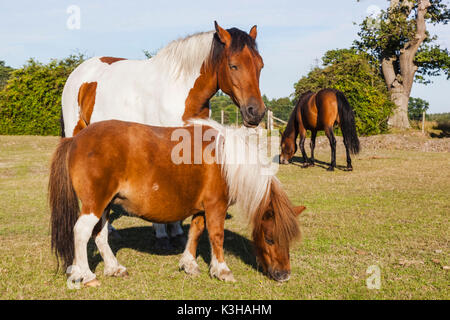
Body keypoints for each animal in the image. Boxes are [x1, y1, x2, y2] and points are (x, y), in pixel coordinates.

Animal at [62, 21, 268, 248]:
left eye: (260, 65)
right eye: (233, 65)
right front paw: (162, 233)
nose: (256, 112)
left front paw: (177, 232)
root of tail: (81, 72)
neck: (180, 89)